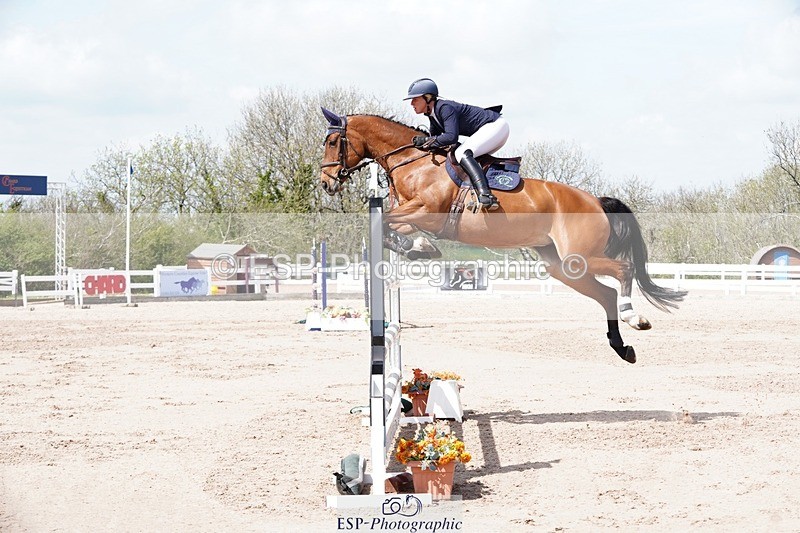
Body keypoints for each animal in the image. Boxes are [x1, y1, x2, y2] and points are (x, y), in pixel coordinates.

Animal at [318, 109, 686, 363]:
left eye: (334, 142)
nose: (326, 183)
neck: (413, 162)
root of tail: (595, 200)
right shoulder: (414, 215)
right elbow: (393, 229)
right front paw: (419, 248)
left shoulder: (427, 212)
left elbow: (388, 223)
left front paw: (420, 247)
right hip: (563, 267)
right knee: (606, 294)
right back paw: (623, 348)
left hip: (577, 258)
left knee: (623, 272)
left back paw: (635, 318)